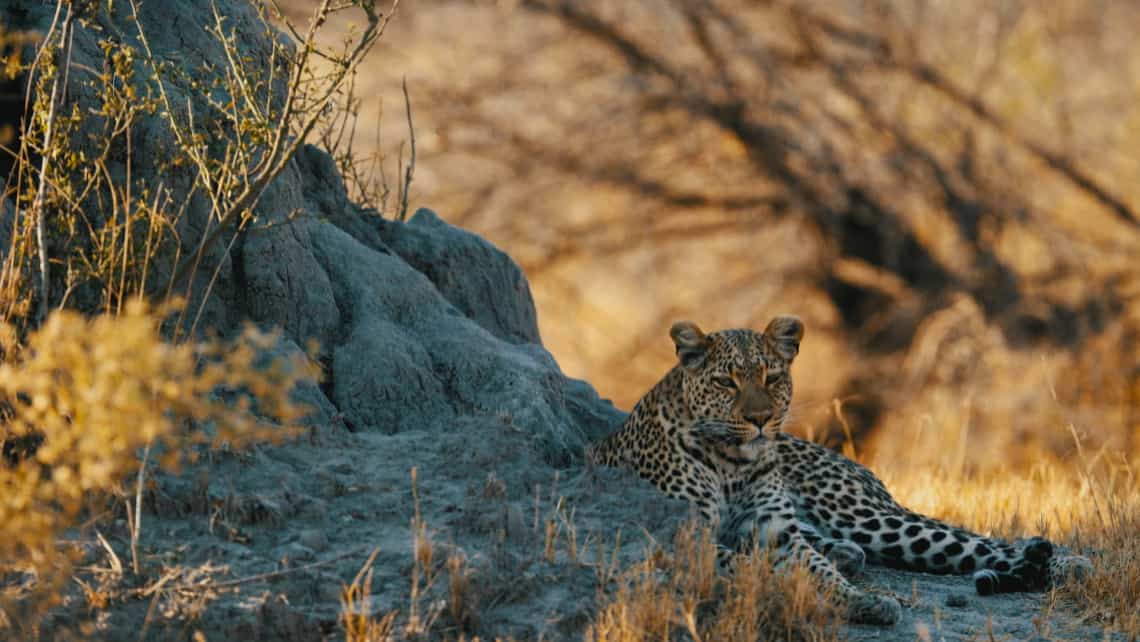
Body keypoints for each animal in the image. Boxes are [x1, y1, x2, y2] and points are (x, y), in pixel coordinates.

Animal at [588, 317, 1094, 629]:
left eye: (772, 377)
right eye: (725, 382)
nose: (760, 419)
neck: (733, 461)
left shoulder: (778, 531)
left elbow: (812, 568)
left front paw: (859, 600)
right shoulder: (688, 534)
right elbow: (752, 564)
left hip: (865, 516)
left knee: (977, 541)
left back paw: (1065, 563)